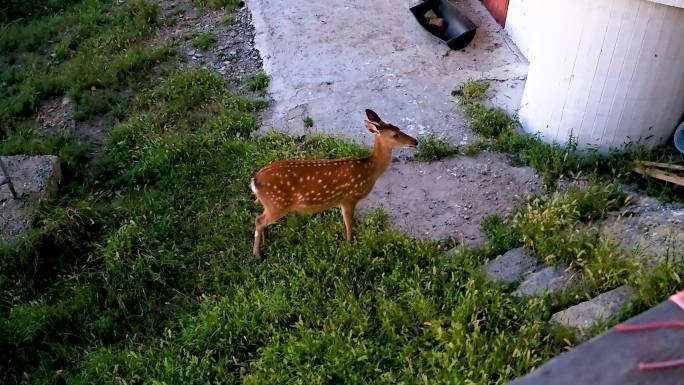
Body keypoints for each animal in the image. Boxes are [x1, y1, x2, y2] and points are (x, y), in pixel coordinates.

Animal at [250, 109, 416, 258]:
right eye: (395, 135)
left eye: (398, 128)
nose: (415, 141)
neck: (368, 170)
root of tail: (254, 181)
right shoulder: (348, 198)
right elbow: (350, 225)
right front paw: (349, 245)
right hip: (277, 203)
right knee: (259, 221)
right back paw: (258, 255)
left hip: (271, 204)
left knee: (261, 219)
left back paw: (266, 241)